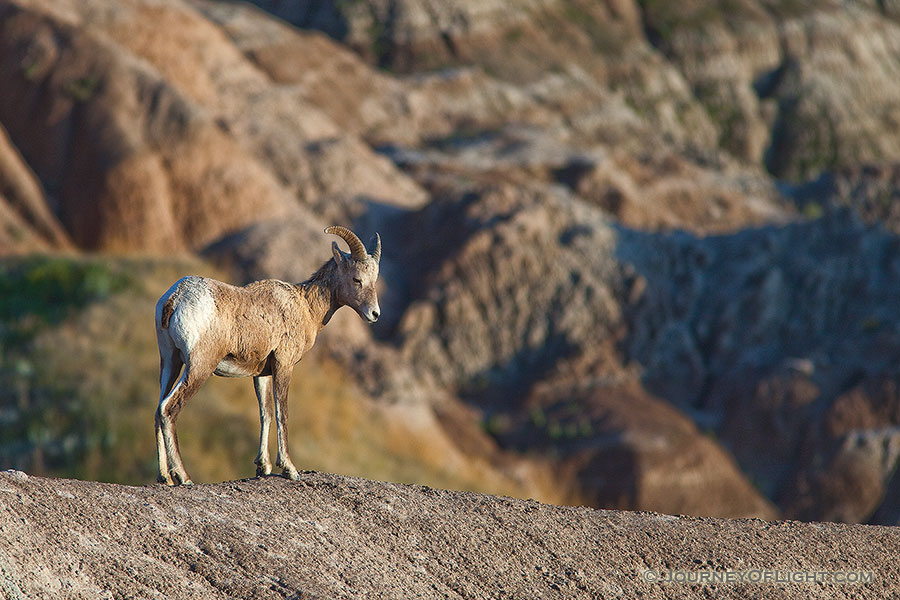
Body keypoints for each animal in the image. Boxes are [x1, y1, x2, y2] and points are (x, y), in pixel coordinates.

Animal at [155, 227, 380, 486]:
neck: (305, 307)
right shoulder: (284, 366)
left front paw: (263, 467)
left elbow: (266, 413)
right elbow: (283, 414)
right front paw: (289, 469)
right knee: (169, 409)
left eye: (373, 280)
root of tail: (175, 298)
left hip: (170, 362)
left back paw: (164, 477)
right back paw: (183, 476)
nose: (374, 314)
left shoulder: (261, 373)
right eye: (356, 279)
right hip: (198, 367)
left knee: (158, 409)